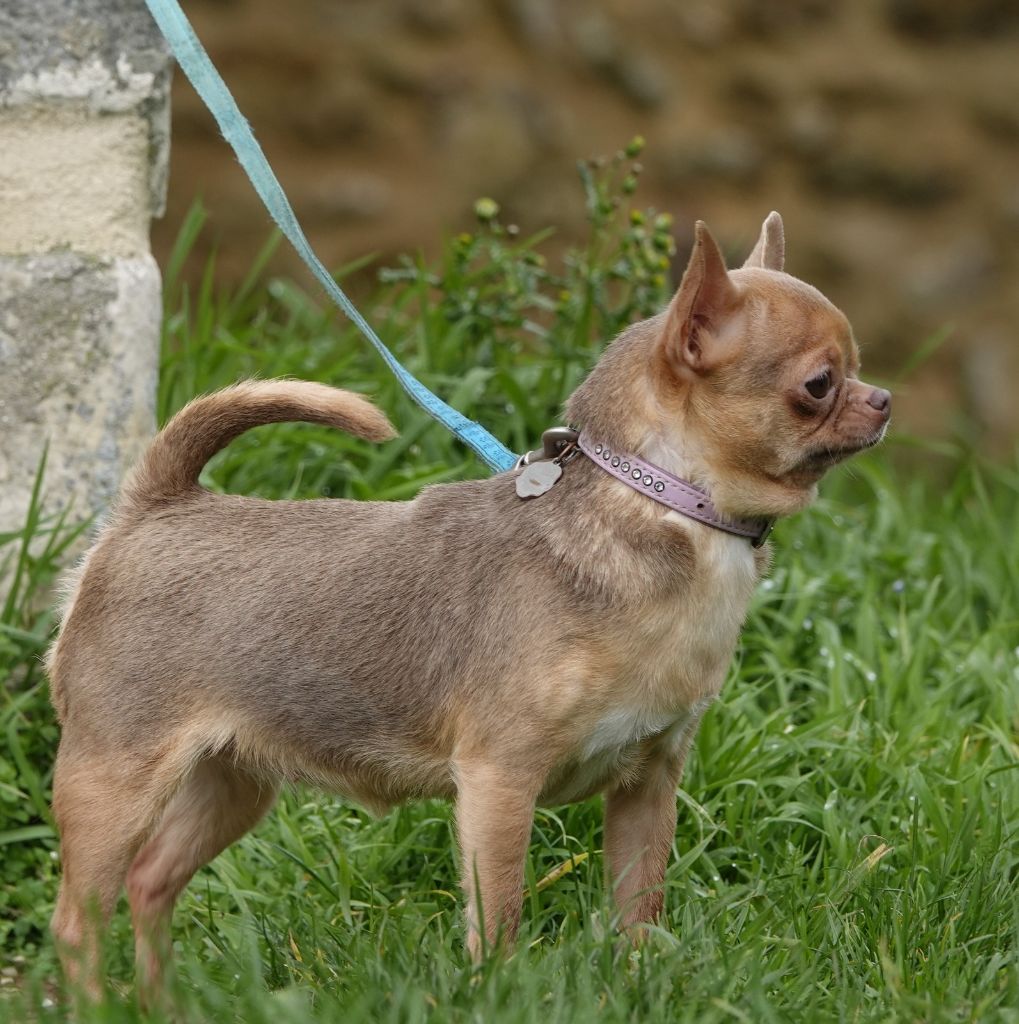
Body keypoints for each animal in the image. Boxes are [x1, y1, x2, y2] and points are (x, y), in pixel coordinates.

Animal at [43, 211, 888, 1003]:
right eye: (818, 384)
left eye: (856, 370)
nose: (881, 398)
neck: (659, 503)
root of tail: (156, 504)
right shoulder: (499, 784)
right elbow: (500, 916)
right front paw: (497, 992)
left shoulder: (647, 786)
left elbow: (637, 909)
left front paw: (636, 983)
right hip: (115, 779)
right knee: (81, 917)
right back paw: (99, 1007)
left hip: (233, 782)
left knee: (151, 880)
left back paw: (159, 1005)